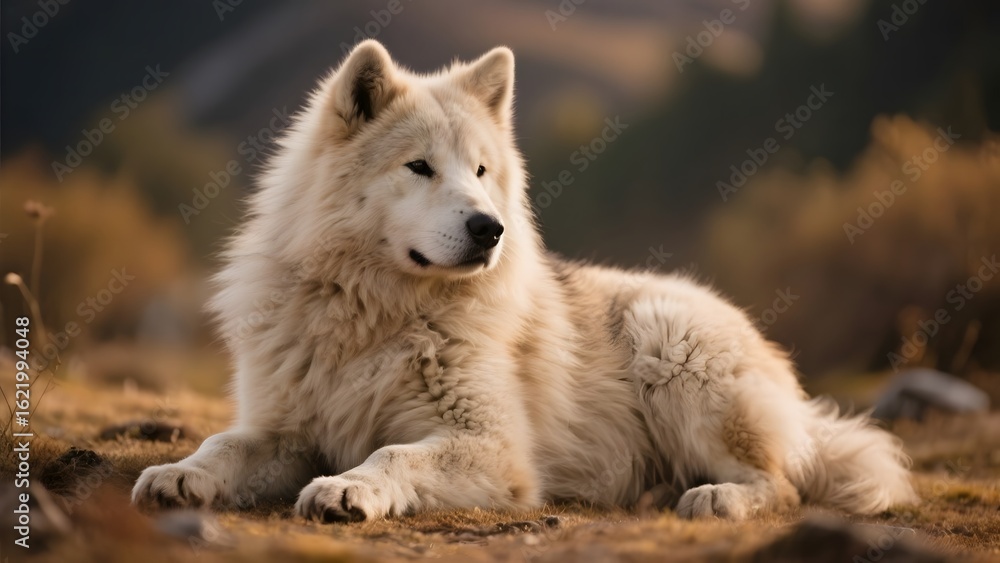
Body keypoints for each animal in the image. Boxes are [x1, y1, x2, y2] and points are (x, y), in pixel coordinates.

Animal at [132, 41, 916, 521]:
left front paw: (349, 488)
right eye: (420, 167)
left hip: (669, 343)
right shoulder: (286, 428)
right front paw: (179, 473)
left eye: (481, 171)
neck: (376, 314)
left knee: (782, 485)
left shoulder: (492, 446)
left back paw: (713, 497)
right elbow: (225, 445)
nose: (490, 229)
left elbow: (391, 452)